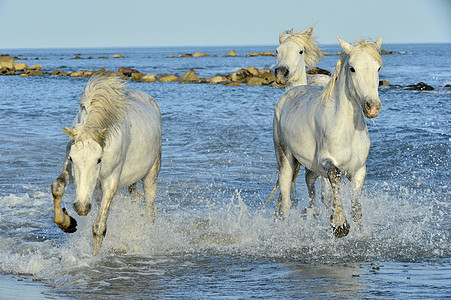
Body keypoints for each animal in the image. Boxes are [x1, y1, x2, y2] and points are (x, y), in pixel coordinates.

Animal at [51, 73, 162, 255]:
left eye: (99, 159)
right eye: (72, 158)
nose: (81, 207)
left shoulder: (111, 181)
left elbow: (99, 227)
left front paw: (95, 257)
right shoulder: (71, 172)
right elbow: (57, 187)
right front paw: (68, 223)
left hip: (151, 173)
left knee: (149, 208)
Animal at [274, 36, 384, 236]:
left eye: (377, 67)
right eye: (352, 68)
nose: (372, 106)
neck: (347, 129)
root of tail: (290, 92)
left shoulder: (359, 170)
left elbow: (356, 208)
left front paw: (357, 233)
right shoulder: (326, 161)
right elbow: (335, 176)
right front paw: (339, 224)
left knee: (309, 180)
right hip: (285, 160)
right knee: (286, 201)